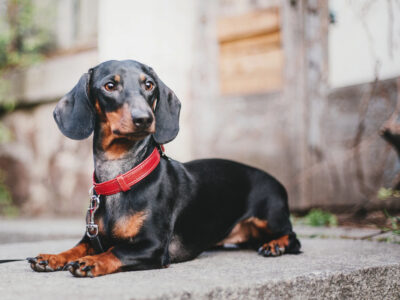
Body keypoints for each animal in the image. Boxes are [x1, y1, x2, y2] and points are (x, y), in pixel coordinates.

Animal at [27, 59, 300, 278]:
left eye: (149, 85)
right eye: (110, 86)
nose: (144, 118)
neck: (120, 175)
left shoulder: (153, 245)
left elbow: (116, 250)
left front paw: (91, 261)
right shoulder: (93, 235)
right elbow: (76, 247)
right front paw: (52, 257)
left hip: (270, 217)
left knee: (293, 237)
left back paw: (276, 245)